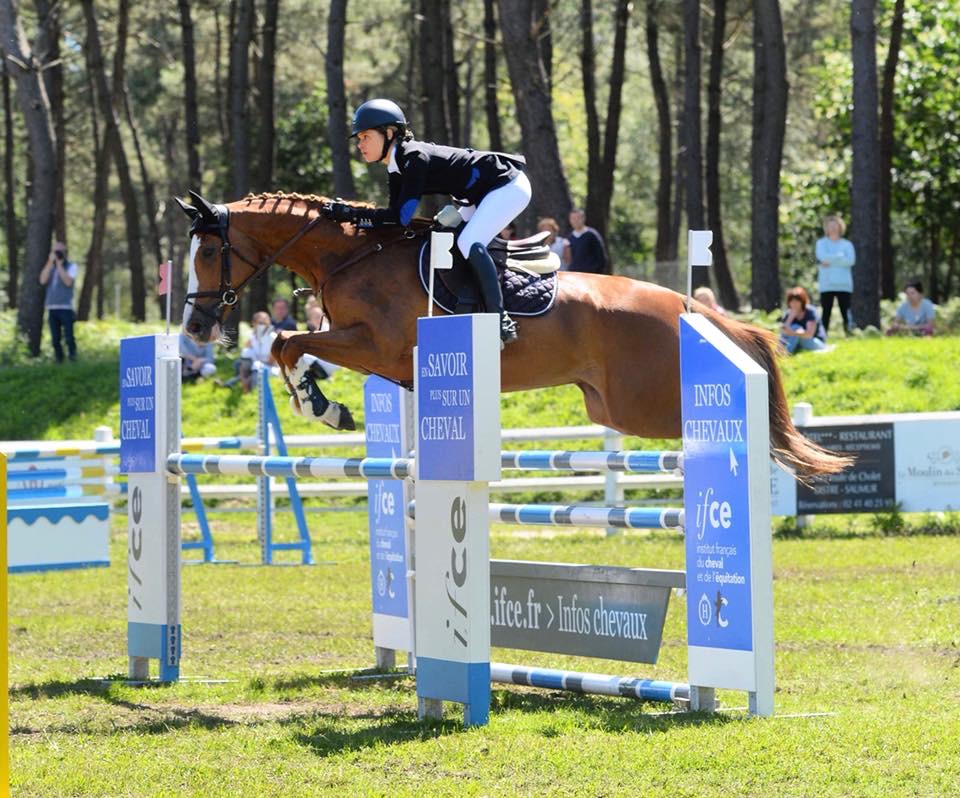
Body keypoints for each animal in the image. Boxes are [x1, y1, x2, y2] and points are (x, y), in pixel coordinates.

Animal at [176, 192, 852, 482]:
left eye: (209, 252)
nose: (195, 328)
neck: (352, 254)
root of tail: (691, 307)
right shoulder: (379, 357)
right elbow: (291, 344)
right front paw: (320, 399)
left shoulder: (377, 345)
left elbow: (289, 342)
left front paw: (322, 405)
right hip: (613, 406)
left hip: (643, 406)